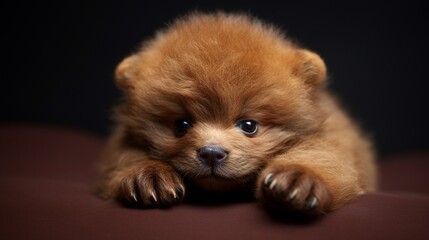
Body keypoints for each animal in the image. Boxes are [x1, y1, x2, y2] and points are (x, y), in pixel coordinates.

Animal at [97, 12, 374, 216]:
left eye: (249, 125)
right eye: (182, 124)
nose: (211, 153)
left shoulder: (334, 138)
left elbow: (324, 155)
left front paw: (299, 178)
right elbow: (125, 157)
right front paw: (148, 176)